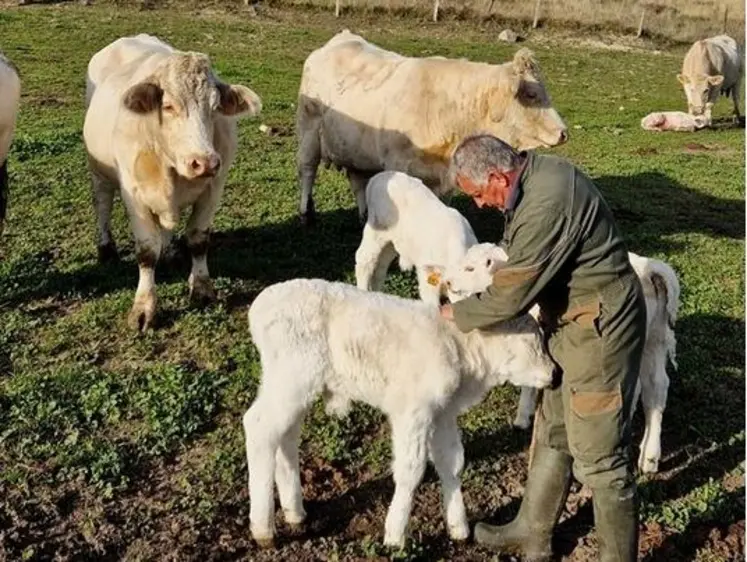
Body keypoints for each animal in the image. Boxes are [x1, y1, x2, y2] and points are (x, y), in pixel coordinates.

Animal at [356, 171, 480, 306]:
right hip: (376, 230)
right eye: (455, 290)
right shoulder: (427, 273)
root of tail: (379, 176)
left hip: (392, 242)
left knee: (380, 267)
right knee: (365, 261)